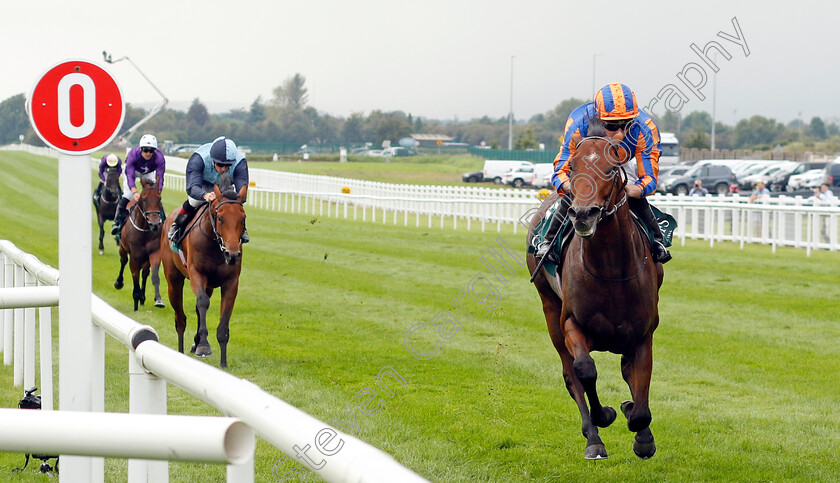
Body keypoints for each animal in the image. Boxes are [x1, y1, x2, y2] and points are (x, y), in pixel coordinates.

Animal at [115, 180, 167, 312]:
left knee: (145, 273)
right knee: (123, 260)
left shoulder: (155, 253)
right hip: (122, 247)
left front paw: (158, 300)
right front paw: (136, 300)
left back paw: (143, 298)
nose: (154, 224)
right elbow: (135, 275)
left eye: (159, 198)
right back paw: (119, 282)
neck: (144, 230)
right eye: (144, 199)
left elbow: (153, 275)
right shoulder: (134, 256)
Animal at [160, 178, 244, 370]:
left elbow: (223, 318)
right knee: (180, 318)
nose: (232, 254)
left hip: (210, 285)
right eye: (220, 217)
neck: (215, 245)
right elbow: (203, 302)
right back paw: (182, 350)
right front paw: (204, 346)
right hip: (173, 280)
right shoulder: (196, 274)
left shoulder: (231, 282)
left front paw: (223, 362)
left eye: (243, 218)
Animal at [528, 121, 668, 462]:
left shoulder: (643, 332)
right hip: (549, 307)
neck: (611, 272)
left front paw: (640, 430)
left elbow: (640, 388)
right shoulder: (571, 323)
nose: (583, 214)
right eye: (573, 167)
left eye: (611, 169)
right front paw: (604, 415)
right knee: (571, 375)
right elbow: (585, 370)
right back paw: (593, 437)